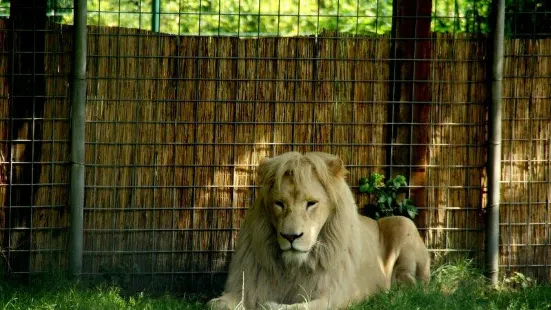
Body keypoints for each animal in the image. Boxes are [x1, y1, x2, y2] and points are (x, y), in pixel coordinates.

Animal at [207, 151, 432, 308]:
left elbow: (294, 308)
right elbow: (215, 304)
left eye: (311, 203)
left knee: (414, 284)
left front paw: (269, 305)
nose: (290, 236)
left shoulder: (334, 295)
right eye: (279, 203)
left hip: (403, 222)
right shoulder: (247, 286)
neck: (293, 267)